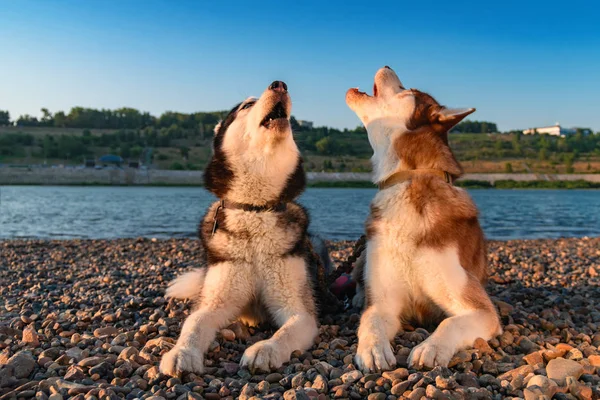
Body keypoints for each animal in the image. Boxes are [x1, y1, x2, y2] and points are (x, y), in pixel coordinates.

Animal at [159, 80, 336, 376]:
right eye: (246, 106)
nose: (280, 84)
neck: (255, 210)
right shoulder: (216, 300)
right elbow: (194, 323)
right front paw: (181, 352)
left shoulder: (300, 310)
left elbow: (286, 331)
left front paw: (265, 349)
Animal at [342, 66, 502, 372]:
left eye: (407, 90)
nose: (387, 65)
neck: (410, 178)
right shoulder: (384, 303)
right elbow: (370, 321)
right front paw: (372, 349)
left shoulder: (481, 310)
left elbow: (450, 323)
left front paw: (431, 348)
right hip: (364, 253)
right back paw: (357, 296)